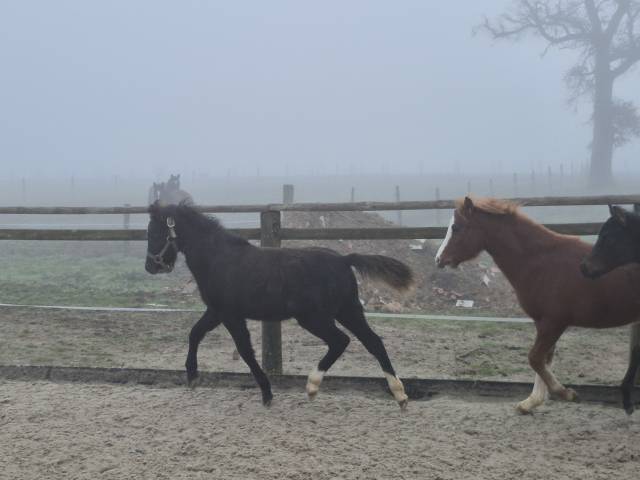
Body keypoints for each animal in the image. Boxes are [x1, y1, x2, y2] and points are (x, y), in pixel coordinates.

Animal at [145, 202, 414, 409]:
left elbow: (245, 351)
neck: (219, 259)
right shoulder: (216, 311)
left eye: (154, 233)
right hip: (348, 311)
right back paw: (400, 395)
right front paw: (192, 376)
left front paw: (267, 394)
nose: (150, 267)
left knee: (341, 341)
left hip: (315, 318)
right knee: (373, 342)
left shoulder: (230, 315)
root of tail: (343, 260)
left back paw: (312, 386)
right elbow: (195, 333)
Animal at [435, 196, 640, 414]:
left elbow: (535, 358)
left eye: (456, 227)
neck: (540, 263)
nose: (439, 259)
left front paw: (565, 393)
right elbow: (544, 359)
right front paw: (532, 401)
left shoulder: (554, 322)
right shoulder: (542, 321)